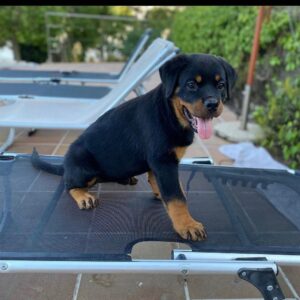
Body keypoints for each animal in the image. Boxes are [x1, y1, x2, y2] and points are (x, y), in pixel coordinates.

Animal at [31, 53, 237, 241]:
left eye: (220, 85)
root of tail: (65, 165)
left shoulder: (160, 162)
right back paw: (83, 196)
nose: (213, 104)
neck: (170, 113)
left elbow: (164, 184)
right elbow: (176, 197)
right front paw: (187, 225)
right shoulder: (163, 161)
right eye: (191, 84)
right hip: (82, 164)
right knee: (69, 184)